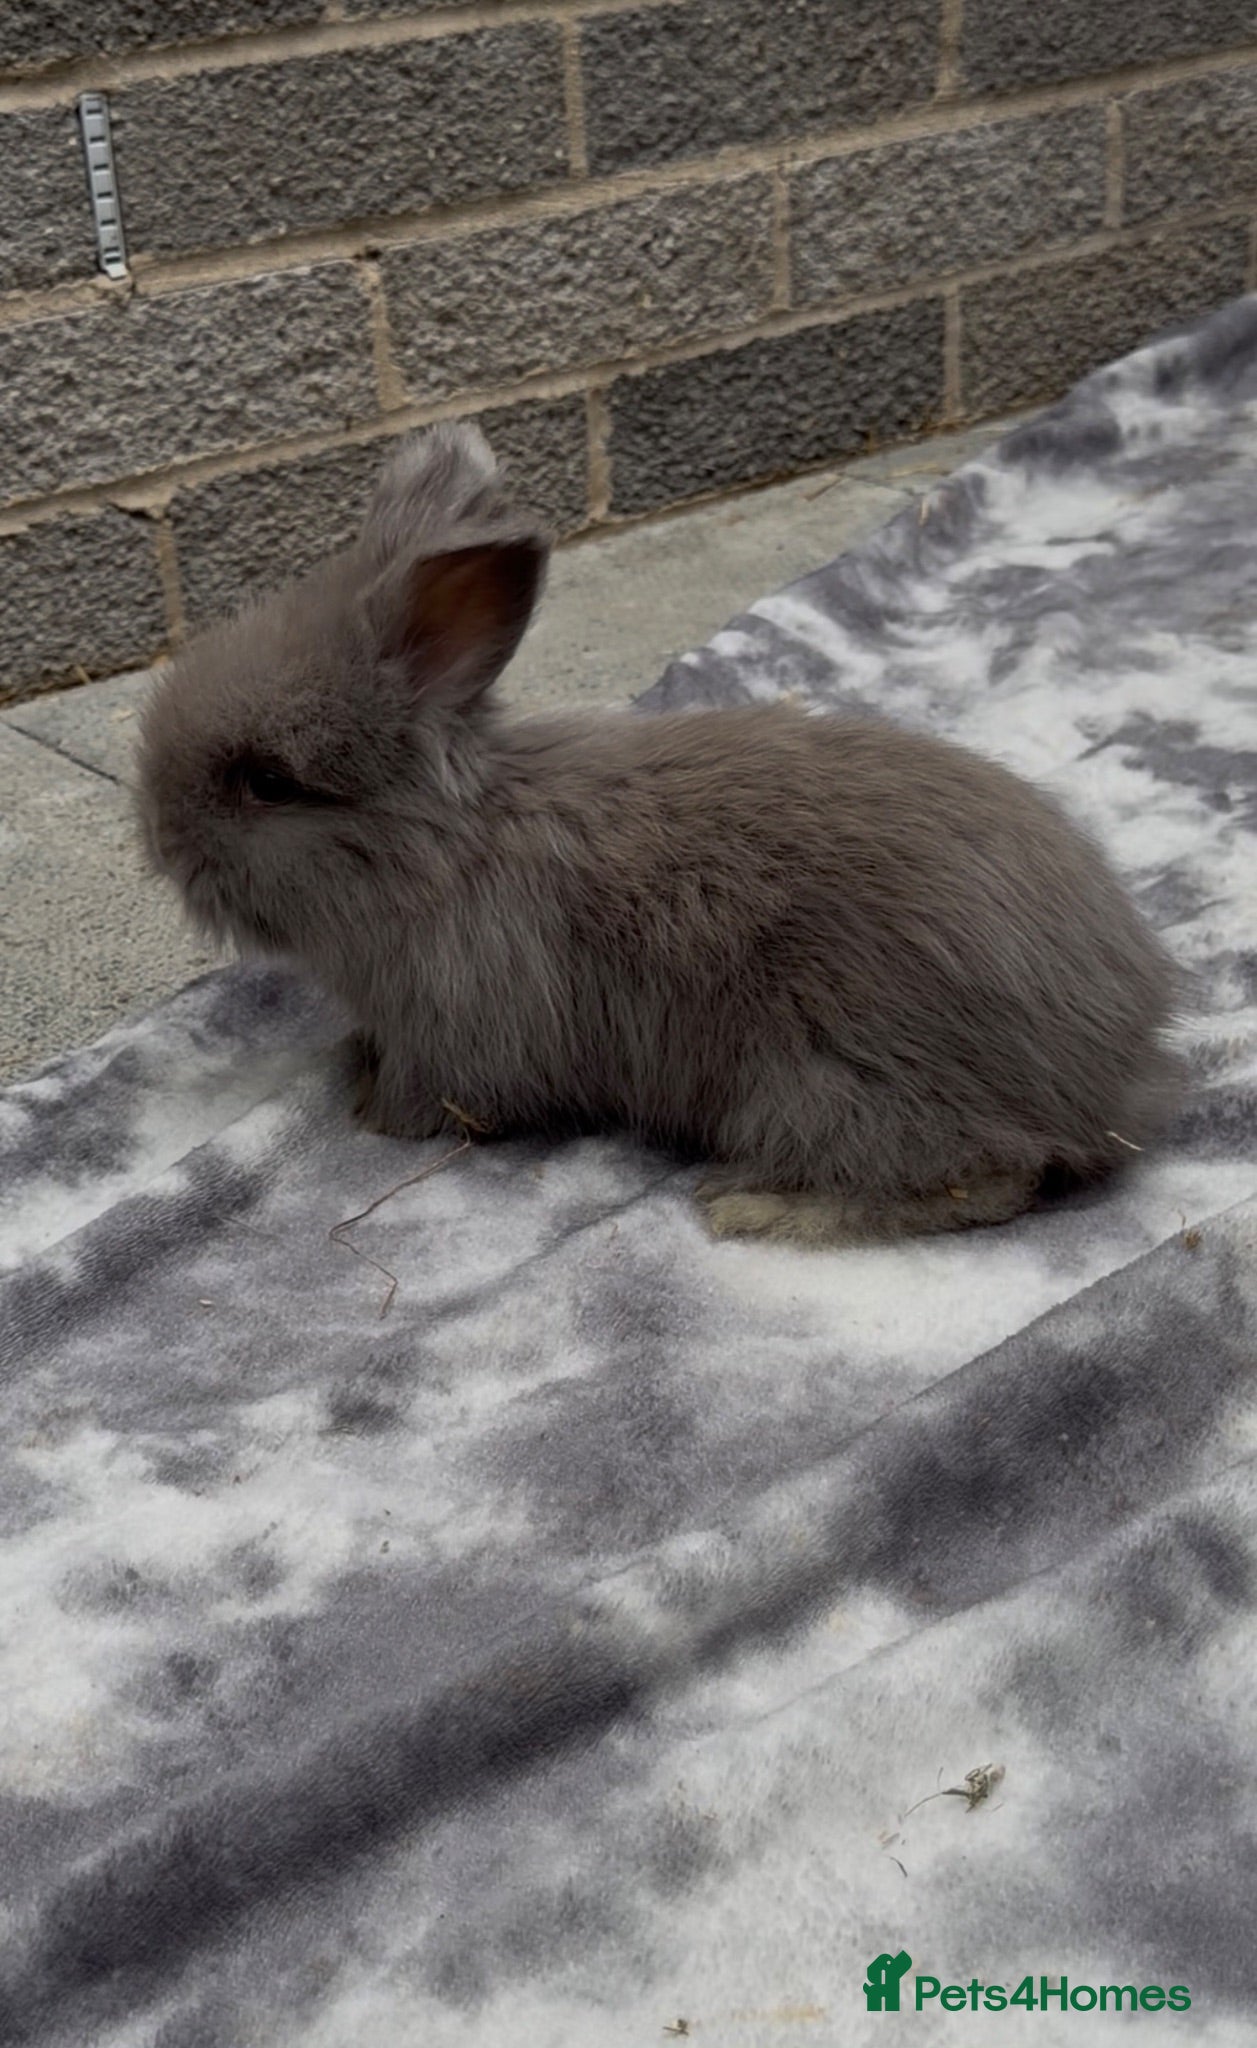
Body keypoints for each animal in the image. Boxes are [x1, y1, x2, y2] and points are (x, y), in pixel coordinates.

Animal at [137, 422, 1182, 1247]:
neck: (442, 850)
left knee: (984, 1177)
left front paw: (366, 1112)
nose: (158, 843)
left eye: (269, 782)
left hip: (831, 1083)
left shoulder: (458, 1036)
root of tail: (1115, 1072)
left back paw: (759, 1210)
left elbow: (422, 1106)